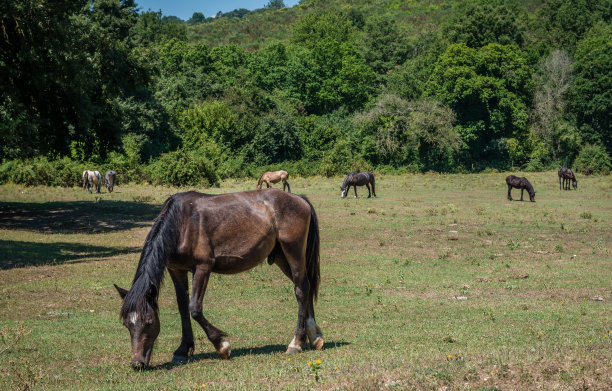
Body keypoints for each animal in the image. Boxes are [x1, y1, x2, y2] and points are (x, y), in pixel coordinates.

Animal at [116, 189, 326, 368]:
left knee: (301, 290)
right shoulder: (176, 270)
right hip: (282, 256)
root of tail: (299, 198)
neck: (182, 223)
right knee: (305, 286)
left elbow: (195, 309)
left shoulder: (203, 268)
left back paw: (296, 343)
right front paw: (183, 350)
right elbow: (183, 307)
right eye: (127, 324)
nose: (137, 363)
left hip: (293, 251)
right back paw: (314, 337)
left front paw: (222, 346)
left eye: (149, 322)